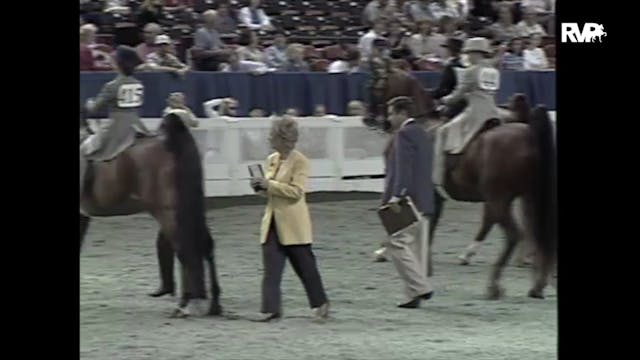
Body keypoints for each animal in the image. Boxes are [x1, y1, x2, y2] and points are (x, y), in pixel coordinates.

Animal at [80, 113, 222, 318]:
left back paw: (186, 305)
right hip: (188, 211)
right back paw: (212, 305)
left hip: (168, 213)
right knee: (203, 246)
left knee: (185, 249)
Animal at [364, 67, 556, 298]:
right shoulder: (434, 197)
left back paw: (494, 284)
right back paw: (534, 282)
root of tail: (528, 133)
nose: (369, 119)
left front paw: (385, 250)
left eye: (376, 86)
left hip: (499, 197)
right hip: (528, 197)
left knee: (512, 233)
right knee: (533, 231)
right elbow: (428, 224)